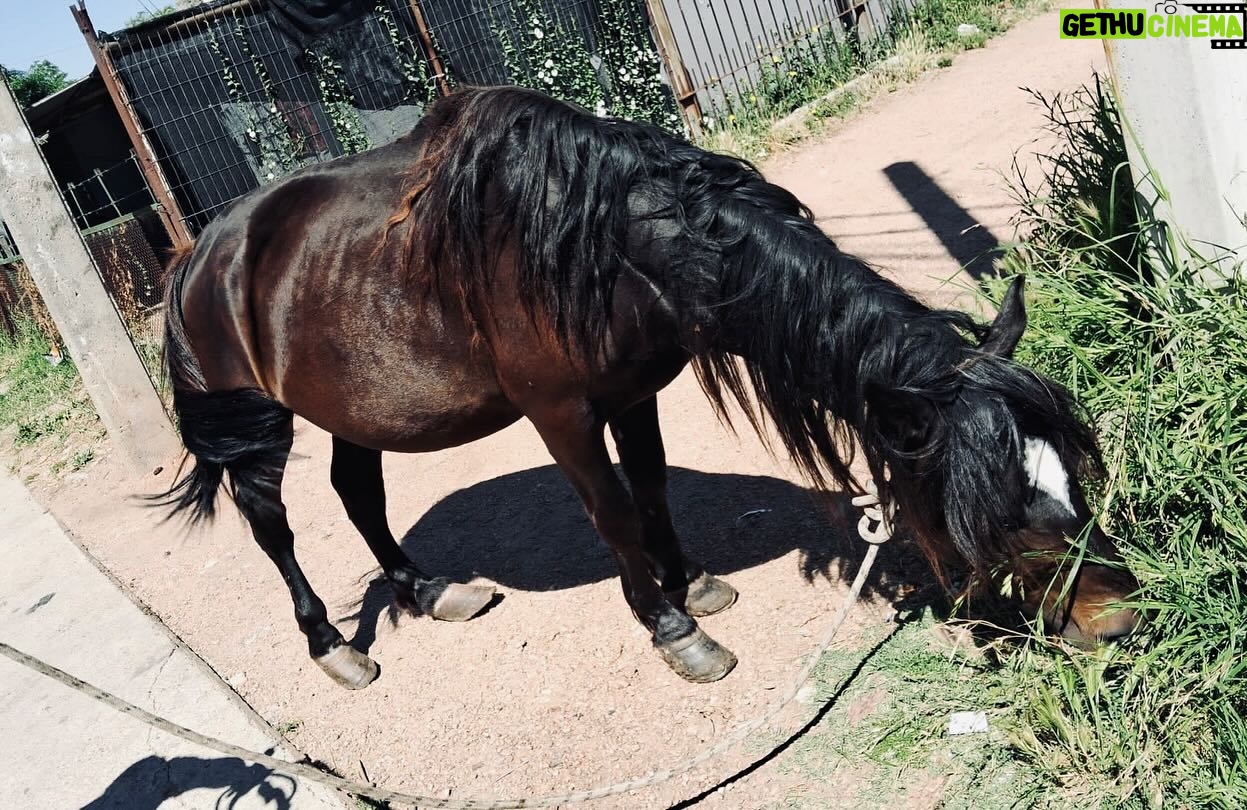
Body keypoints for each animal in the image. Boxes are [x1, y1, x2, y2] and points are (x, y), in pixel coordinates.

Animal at [155, 86, 1138, 689]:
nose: (1118, 619)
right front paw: (673, 629)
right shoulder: (560, 415)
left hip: (352, 407)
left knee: (356, 491)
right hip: (259, 423)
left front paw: (690, 584)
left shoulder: (634, 393)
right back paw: (331, 645)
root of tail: (198, 255)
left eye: (1068, 478)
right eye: (994, 509)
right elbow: (615, 512)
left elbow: (655, 489)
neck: (598, 243)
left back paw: (428, 591)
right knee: (274, 525)